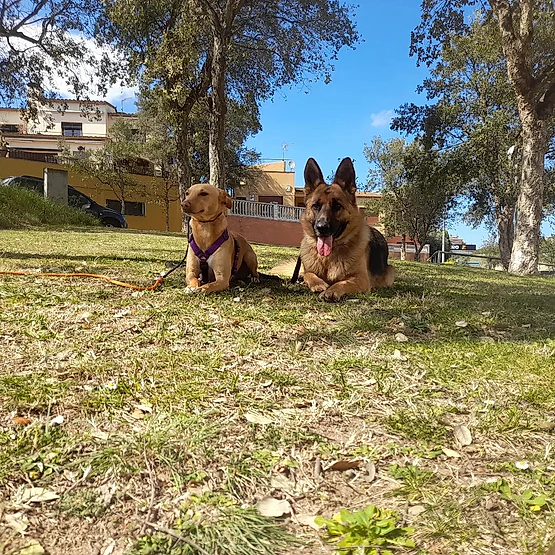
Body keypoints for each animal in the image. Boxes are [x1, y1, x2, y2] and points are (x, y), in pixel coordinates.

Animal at [300, 156, 396, 302]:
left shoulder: (361, 279)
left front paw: (331, 291)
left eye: (337, 206)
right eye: (315, 206)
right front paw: (318, 284)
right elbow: (308, 274)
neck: (328, 258)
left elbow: (343, 282)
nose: (322, 228)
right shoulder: (308, 271)